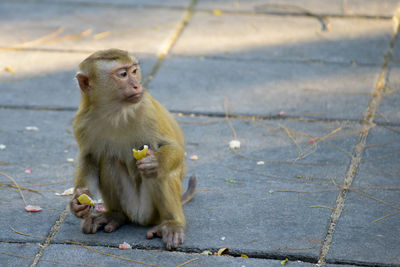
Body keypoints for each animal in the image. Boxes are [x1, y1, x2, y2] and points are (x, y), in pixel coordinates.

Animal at [69, 48, 197, 251]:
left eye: (134, 71)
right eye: (122, 74)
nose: (137, 86)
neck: (114, 111)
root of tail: (139, 216)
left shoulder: (148, 110)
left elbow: (174, 148)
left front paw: (156, 162)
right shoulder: (82, 121)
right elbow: (88, 158)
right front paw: (77, 202)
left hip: (151, 211)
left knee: (158, 173)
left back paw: (173, 223)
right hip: (130, 204)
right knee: (108, 158)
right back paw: (115, 215)